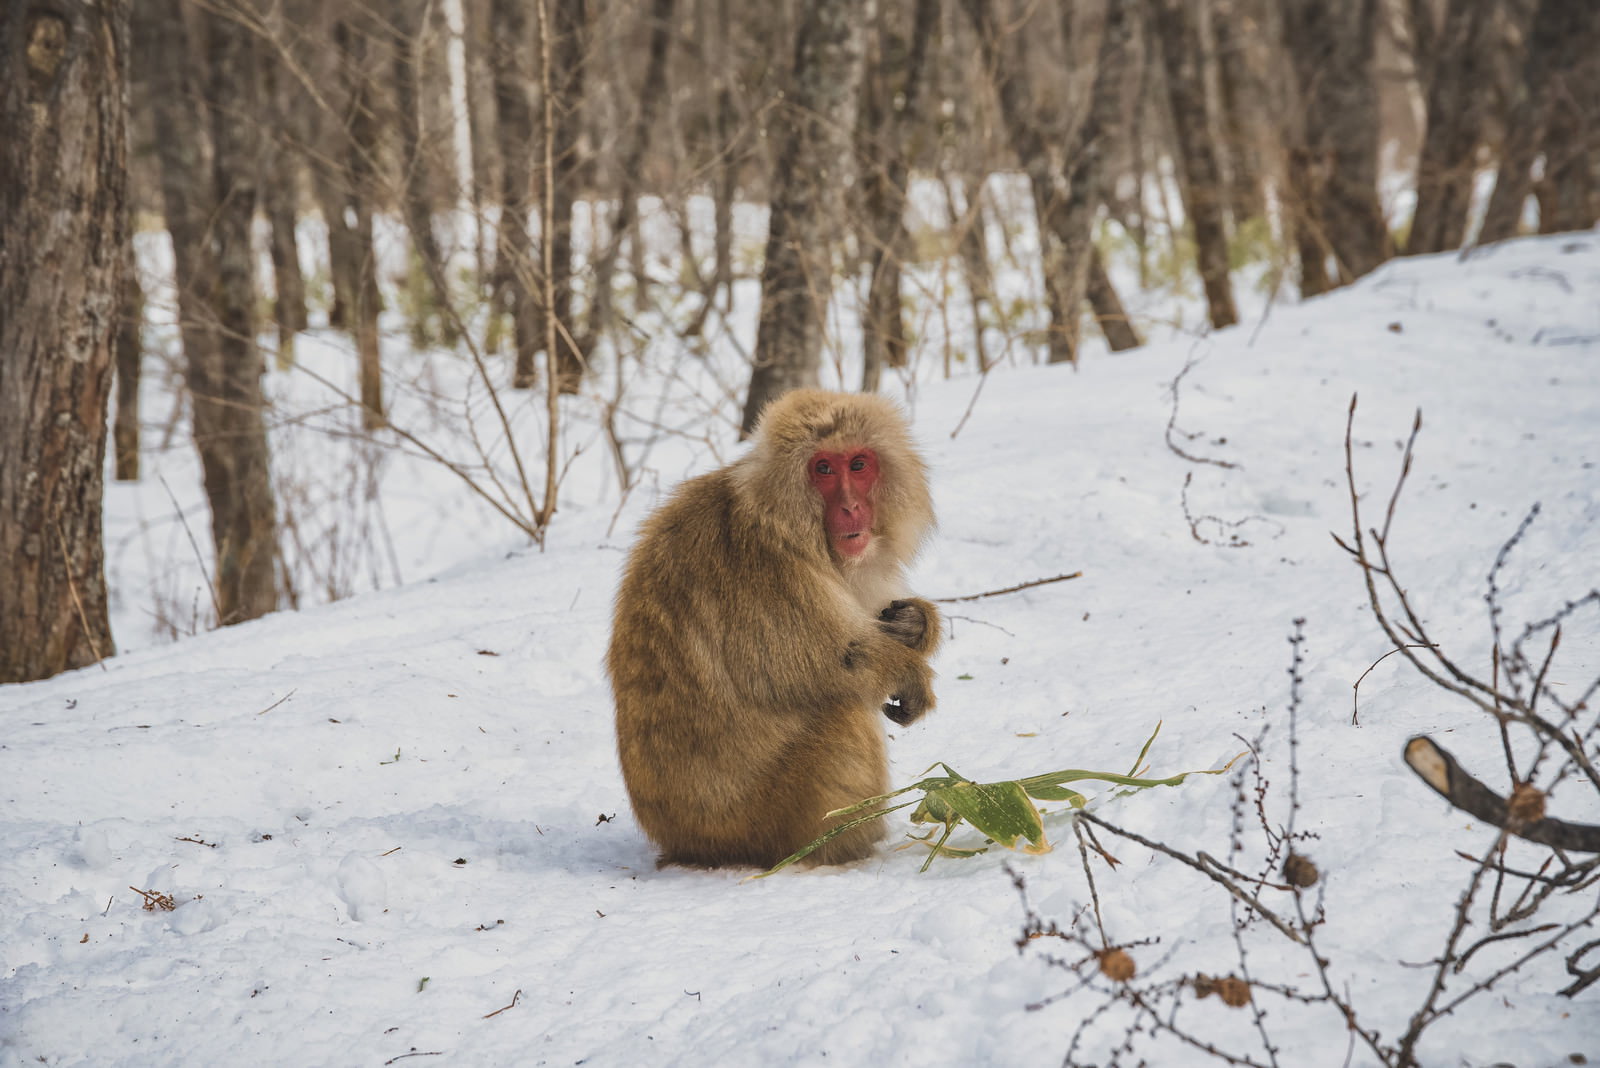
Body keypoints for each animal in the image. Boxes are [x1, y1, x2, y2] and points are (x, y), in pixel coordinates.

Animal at [608, 389, 943, 869]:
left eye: (858, 464)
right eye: (823, 469)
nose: (851, 507)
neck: (786, 522)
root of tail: (682, 843)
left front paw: (916, 625)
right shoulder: (766, 566)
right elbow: (826, 665)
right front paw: (910, 673)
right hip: (760, 822)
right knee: (843, 712)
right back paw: (849, 848)